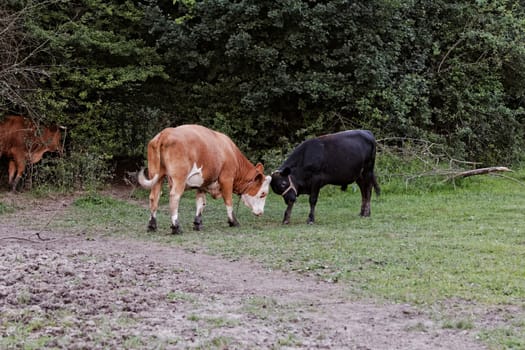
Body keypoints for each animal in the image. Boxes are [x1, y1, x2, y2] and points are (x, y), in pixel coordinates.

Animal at [137, 124, 272, 234]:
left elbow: (201, 202)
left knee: (154, 197)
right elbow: (229, 201)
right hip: (179, 178)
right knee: (174, 196)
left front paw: (198, 224)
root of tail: (166, 132)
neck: (231, 152)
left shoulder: (202, 182)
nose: (261, 213)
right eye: (263, 194)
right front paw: (233, 221)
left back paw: (152, 225)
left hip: (156, 175)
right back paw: (176, 227)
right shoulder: (227, 179)